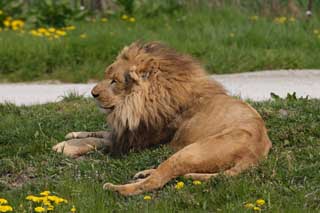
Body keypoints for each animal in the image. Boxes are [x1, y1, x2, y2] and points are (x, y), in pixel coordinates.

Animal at [52, 40, 270, 196]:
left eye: (114, 81)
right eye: (107, 76)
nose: (93, 93)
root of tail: (256, 153)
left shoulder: (138, 140)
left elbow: (100, 140)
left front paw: (65, 147)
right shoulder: (129, 131)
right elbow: (101, 133)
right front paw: (72, 135)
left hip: (191, 151)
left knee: (155, 182)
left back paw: (115, 188)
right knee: (160, 173)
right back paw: (144, 172)